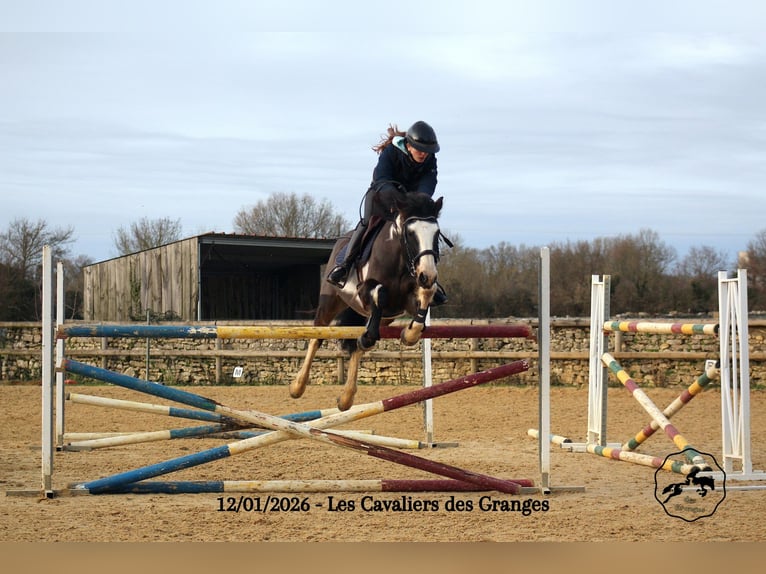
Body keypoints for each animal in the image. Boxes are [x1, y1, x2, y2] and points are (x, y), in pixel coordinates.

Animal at [290, 191, 445, 410]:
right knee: (317, 335)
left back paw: (346, 398)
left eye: (436, 233)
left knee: (359, 344)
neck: (399, 259)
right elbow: (380, 293)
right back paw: (298, 386)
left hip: (385, 318)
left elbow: (425, 295)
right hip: (331, 302)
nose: (428, 275)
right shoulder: (364, 290)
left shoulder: (405, 300)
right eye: (410, 233)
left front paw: (409, 334)